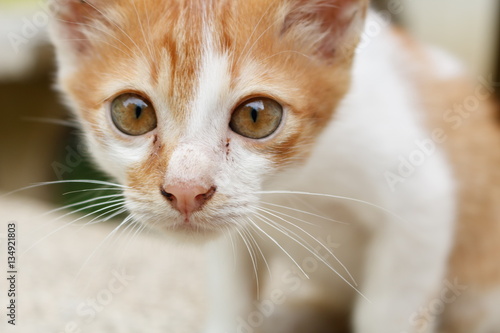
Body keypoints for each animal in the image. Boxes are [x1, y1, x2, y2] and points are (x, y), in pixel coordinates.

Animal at [47, 0, 500, 332]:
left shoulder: (421, 199)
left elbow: (390, 309)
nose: (186, 190)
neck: (292, 183)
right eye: (134, 113)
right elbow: (233, 288)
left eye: (257, 116)